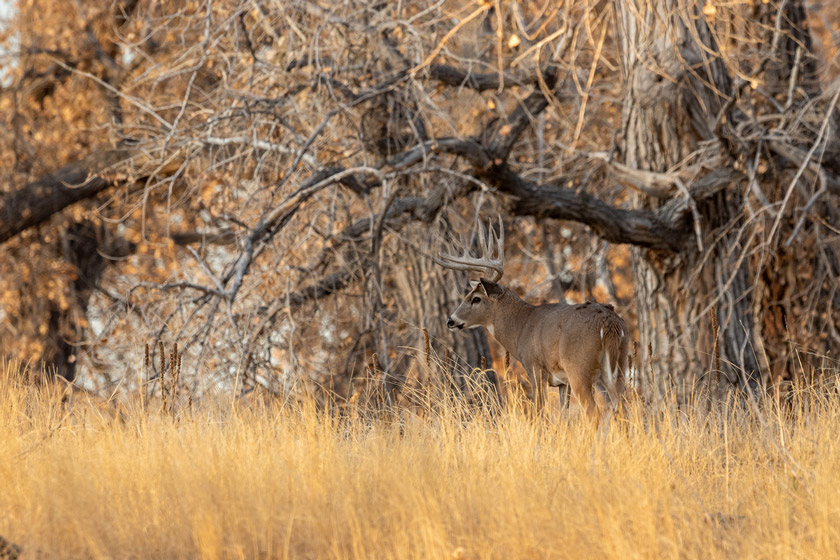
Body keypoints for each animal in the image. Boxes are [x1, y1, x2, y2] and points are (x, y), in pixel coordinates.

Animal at [436, 217, 628, 418]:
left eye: (476, 299)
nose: (450, 320)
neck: (520, 326)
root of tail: (609, 323)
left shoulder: (534, 367)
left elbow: (539, 411)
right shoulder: (562, 382)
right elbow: (563, 415)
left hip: (578, 368)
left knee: (594, 411)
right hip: (618, 368)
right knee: (622, 407)